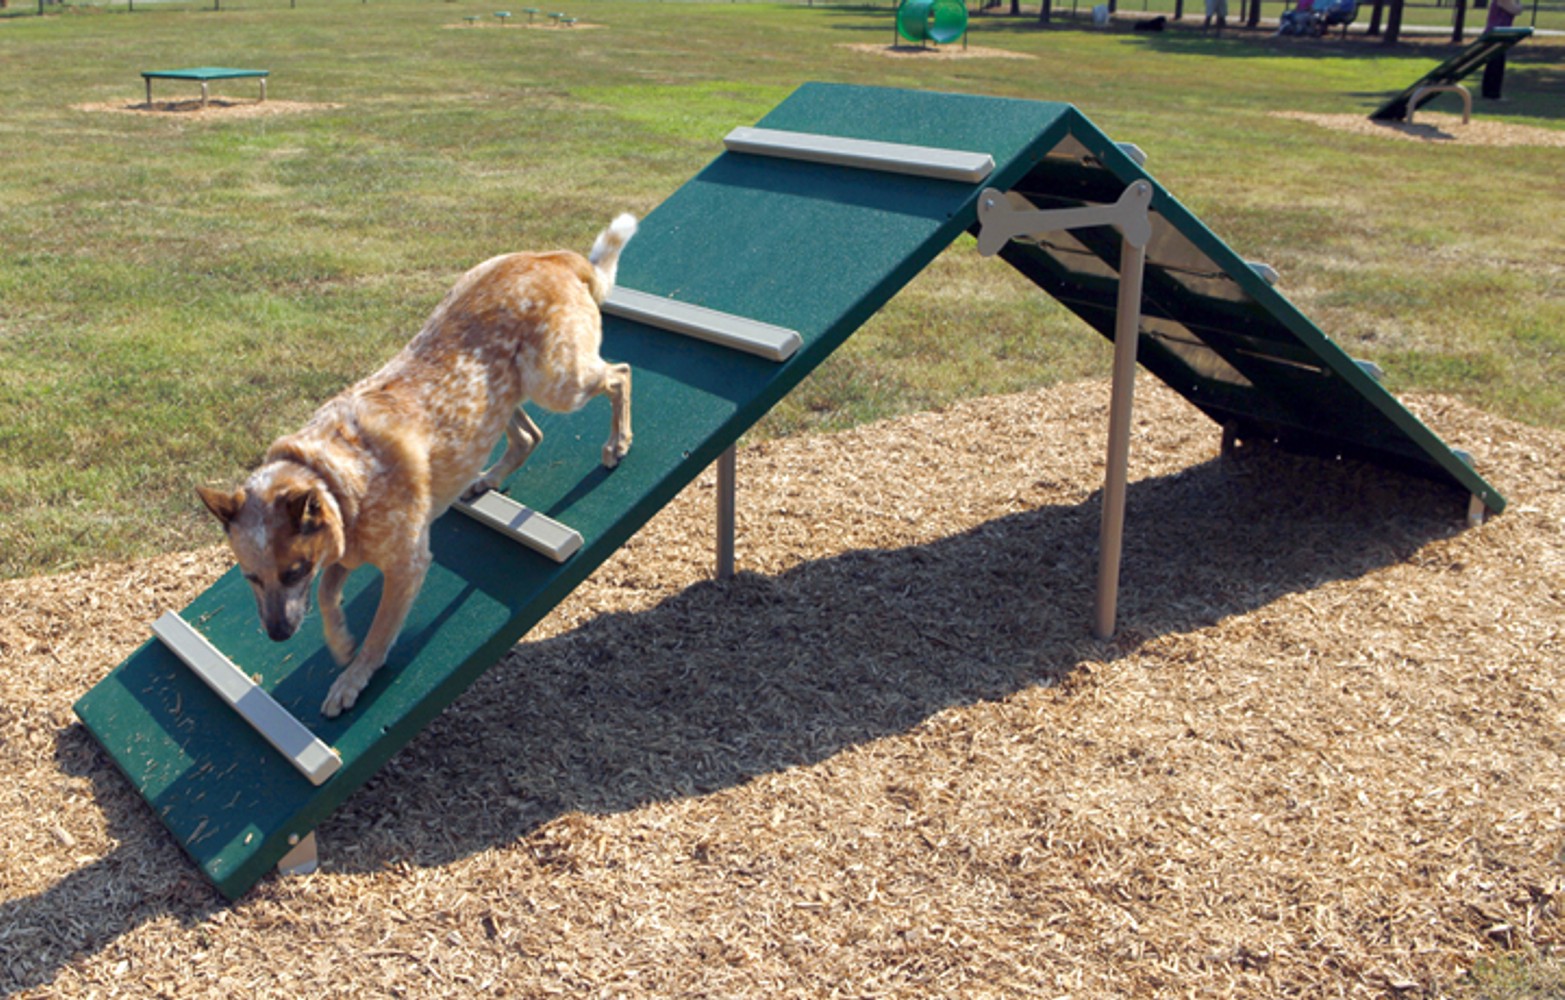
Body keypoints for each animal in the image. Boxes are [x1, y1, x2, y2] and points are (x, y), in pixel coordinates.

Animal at [200, 217, 635, 719]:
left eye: (292, 572)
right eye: (250, 578)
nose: (276, 635)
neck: (337, 478)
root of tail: (552, 257)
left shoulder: (405, 566)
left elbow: (376, 633)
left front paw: (352, 677)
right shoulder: (345, 550)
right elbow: (327, 594)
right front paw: (340, 642)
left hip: (557, 383)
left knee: (619, 373)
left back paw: (617, 442)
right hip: (498, 398)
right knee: (530, 436)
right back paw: (486, 480)